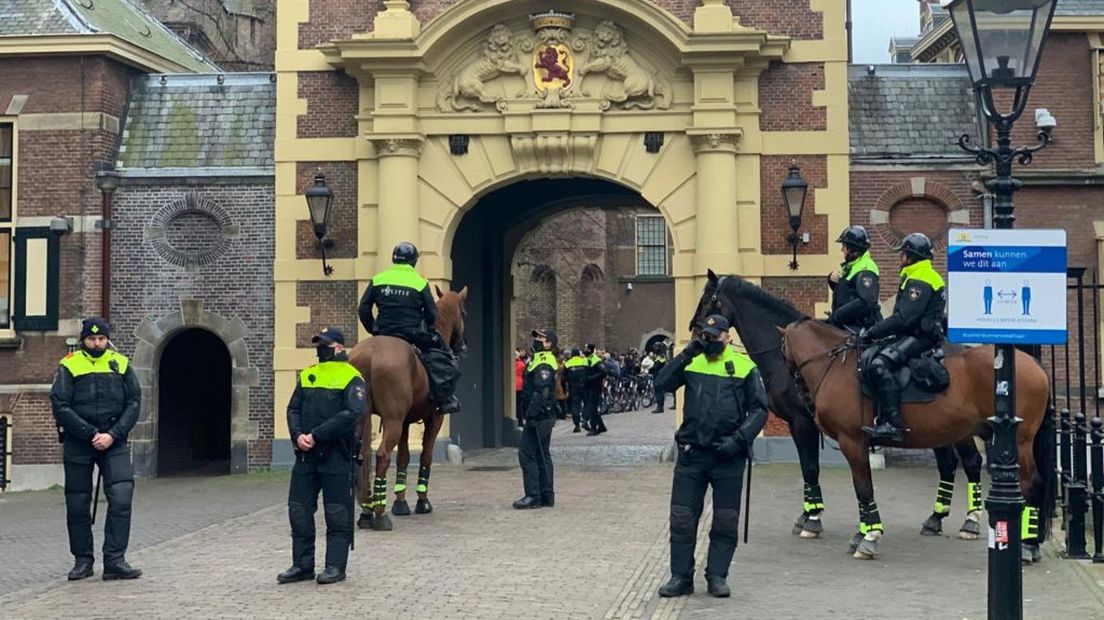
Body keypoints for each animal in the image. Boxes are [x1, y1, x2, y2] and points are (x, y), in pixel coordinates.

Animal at [346, 282, 463, 529]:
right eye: (463, 312)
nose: (462, 345)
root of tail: (368, 354)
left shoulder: (406, 422)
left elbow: (403, 458)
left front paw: (400, 503)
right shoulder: (434, 418)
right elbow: (425, 456)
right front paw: (422, 502)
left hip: (363, 419)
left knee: (361, 457)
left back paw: (366, 512)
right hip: (393, 420)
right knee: (382, 455)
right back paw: (380, 515)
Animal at [781, 315, 1046, 558]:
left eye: (783, 350)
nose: (802, 399)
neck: (837, 368)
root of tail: (1033, 364)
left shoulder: (852, 442)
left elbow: (863, 488)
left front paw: (869, 536)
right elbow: (861, 489)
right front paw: (861, 533)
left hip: (1018, 441)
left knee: (1030, 482)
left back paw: (1027, 545)